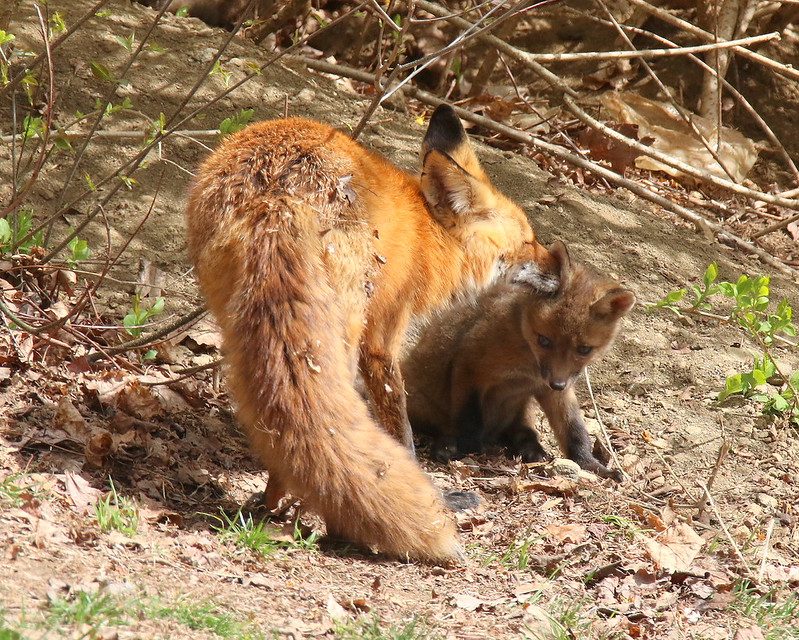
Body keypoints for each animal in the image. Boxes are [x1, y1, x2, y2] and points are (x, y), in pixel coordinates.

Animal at [185, 104, 559, 562]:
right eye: (529, 241)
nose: (563, 268)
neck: (428, 236)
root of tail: (278, 192)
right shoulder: (382, 337)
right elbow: (401, 428)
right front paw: (434, 491)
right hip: (342, 333)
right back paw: (324, 520)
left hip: (239, 316)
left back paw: (274, 501)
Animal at [402, 241, 635, 482]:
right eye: (544, 340)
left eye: (584, 349)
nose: (557, 384)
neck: (527, 369)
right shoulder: (469, 366)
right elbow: (470, 421)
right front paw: (470, 452)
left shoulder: (552, 389)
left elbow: (575, 432)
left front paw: (591, 465)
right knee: (444, 428)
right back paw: (448, 445)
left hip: (520, 410)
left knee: (523, 432)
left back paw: (531, 449)